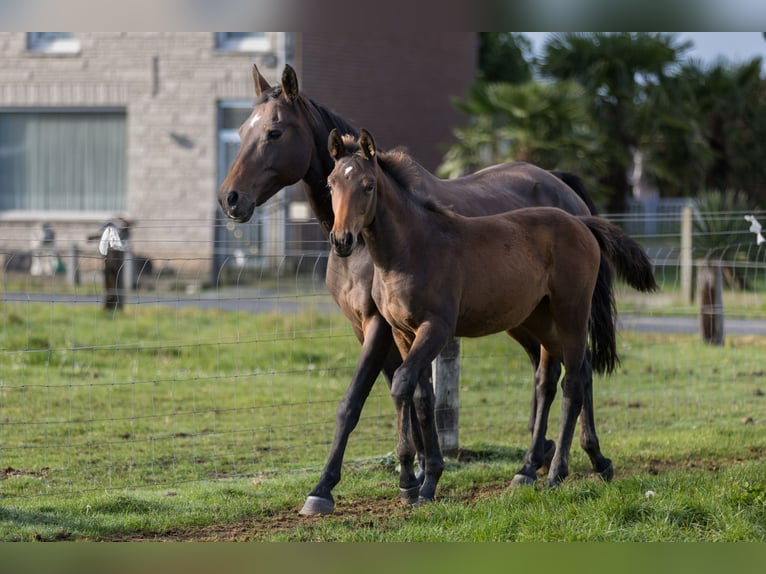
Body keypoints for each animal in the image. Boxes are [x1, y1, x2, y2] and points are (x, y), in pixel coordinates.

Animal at [222, 64, 608, 516]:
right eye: (242, 129)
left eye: (274, 132)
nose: (230, 198)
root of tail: (564, 190)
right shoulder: (377, 328)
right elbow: (410, 392)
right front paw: (416, 474)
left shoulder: (380, 325)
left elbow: (356, 402)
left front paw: (325, 487)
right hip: (528, 318)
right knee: (551, 372)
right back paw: (536, 461)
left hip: (563, 313)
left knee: (576, 372)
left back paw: (581, 459)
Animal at [328, 130, 656, 504]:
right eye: (331, 184)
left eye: (368, 186)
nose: (341, 239)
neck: (411, 249)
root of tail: (580, 222)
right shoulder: (402, 332)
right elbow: (421, 396)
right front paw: (422, 482)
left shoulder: (436, 328)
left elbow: (401, 385)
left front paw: (416, 482)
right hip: (542, 319)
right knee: (566, 373)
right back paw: (577, 465)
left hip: (571, 311)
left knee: (573, 383)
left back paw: (556, 473)